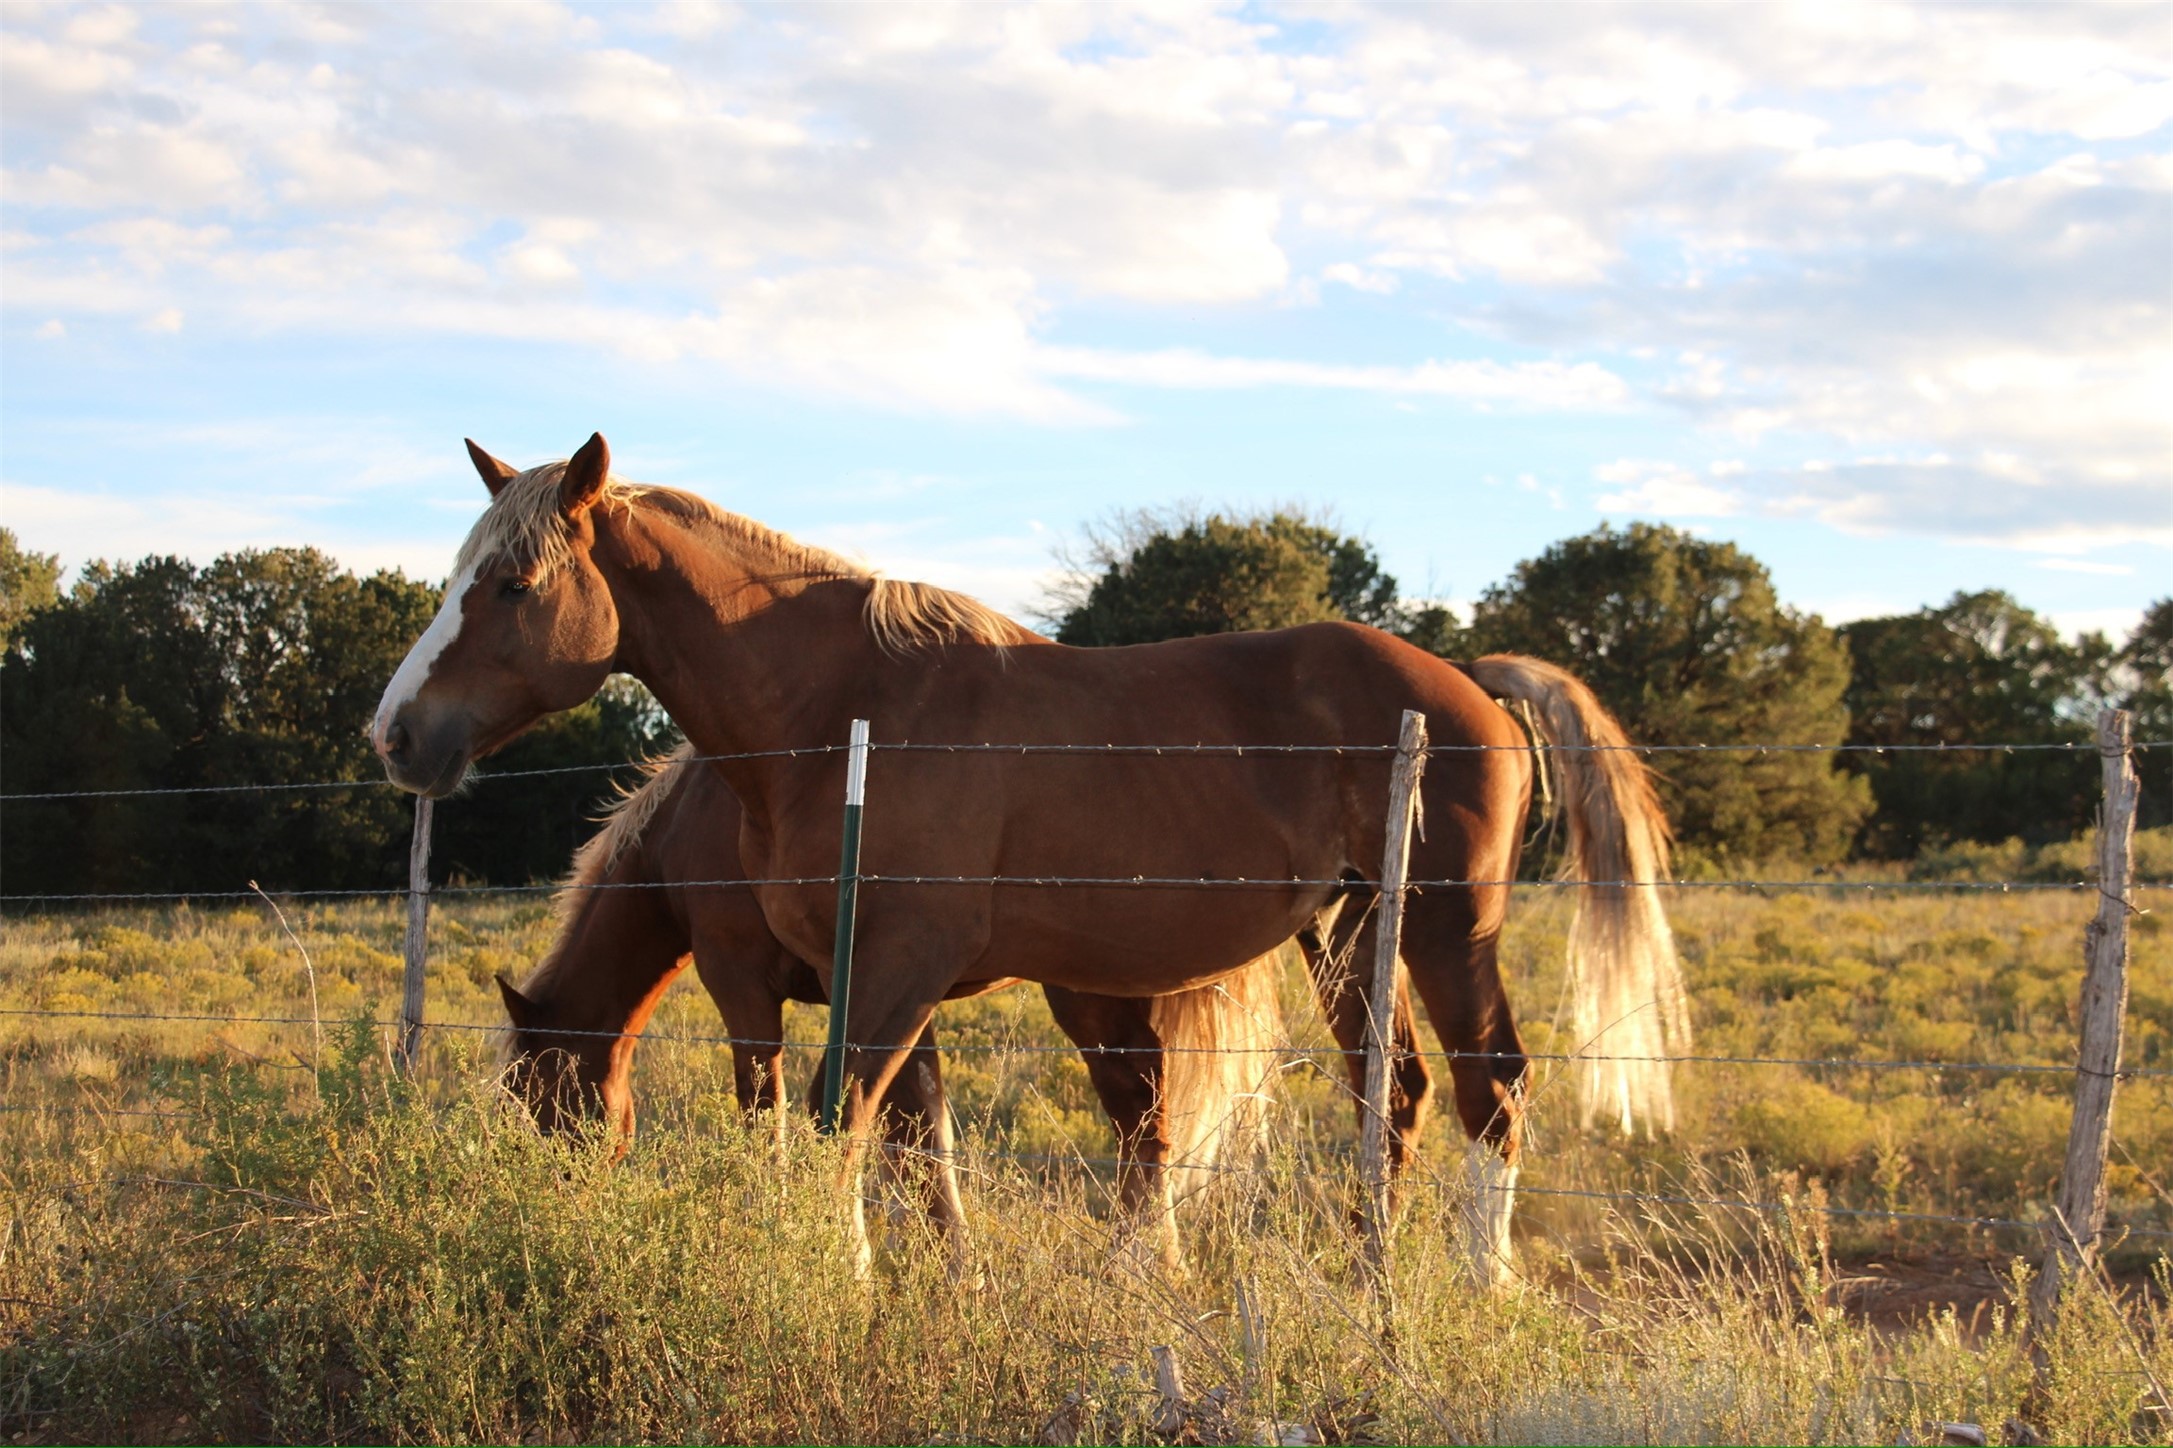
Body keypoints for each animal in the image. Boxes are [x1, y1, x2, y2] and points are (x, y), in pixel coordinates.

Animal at [501, 742, 1283, 1267]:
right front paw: (954, 1276)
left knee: (1139, 1112)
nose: (545, 1206)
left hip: (1087, 994)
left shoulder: (740, 980)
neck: (682, 835)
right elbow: (920, 1131)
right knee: (1143, 1118)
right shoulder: (903, 998)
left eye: (533, 1097)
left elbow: (764, 1114)